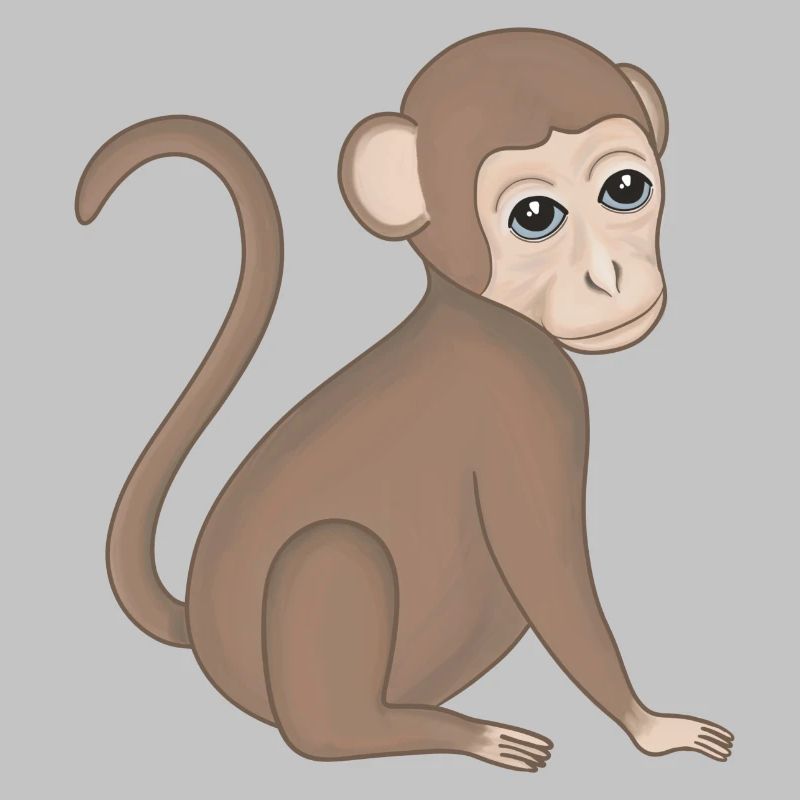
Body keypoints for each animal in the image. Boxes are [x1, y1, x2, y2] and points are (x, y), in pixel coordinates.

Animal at [76, 29, 734, 773]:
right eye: (535, 216)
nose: (609, 276)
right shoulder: (525, 408)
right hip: (312, 620)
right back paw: (458, 733)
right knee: (330, 596)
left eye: (626, 188)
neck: (479, 315)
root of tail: (198, 624)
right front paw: (652, 726)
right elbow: (549, 574)